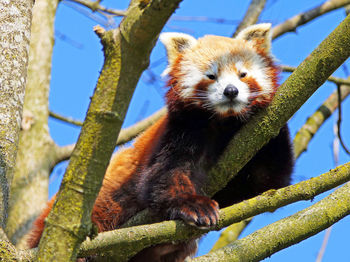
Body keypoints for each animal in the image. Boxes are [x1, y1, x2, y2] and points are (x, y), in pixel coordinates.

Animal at [27, 23, 294, 260]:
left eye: (243, 74)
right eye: (211, 76)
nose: (231, 91)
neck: (223, 124)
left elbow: (265, 180)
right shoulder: (179, 131)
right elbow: (163, 175)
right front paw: (194, 206)